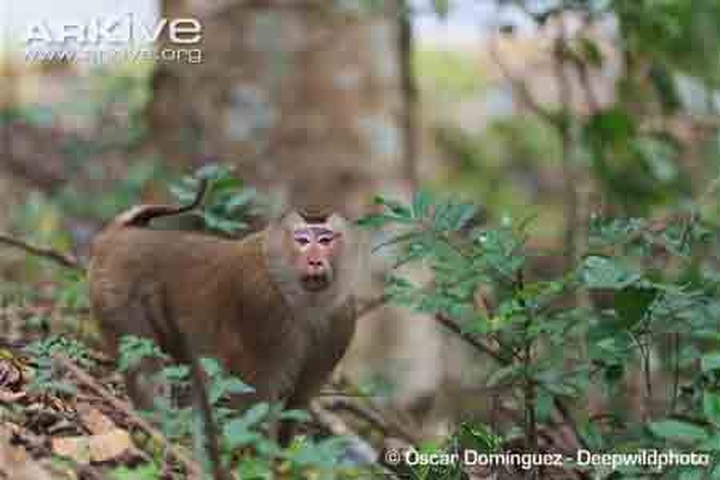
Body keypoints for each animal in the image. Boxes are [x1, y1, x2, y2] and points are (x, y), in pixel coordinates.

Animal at [88, 186, 358, 441]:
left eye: (325, 240)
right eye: (302, 240)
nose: (315, 262)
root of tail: (119, 234)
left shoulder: (341, 321)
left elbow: (299, 399)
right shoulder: (262, 309)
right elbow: (255, 393)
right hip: (116, 294)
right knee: (143, 363)